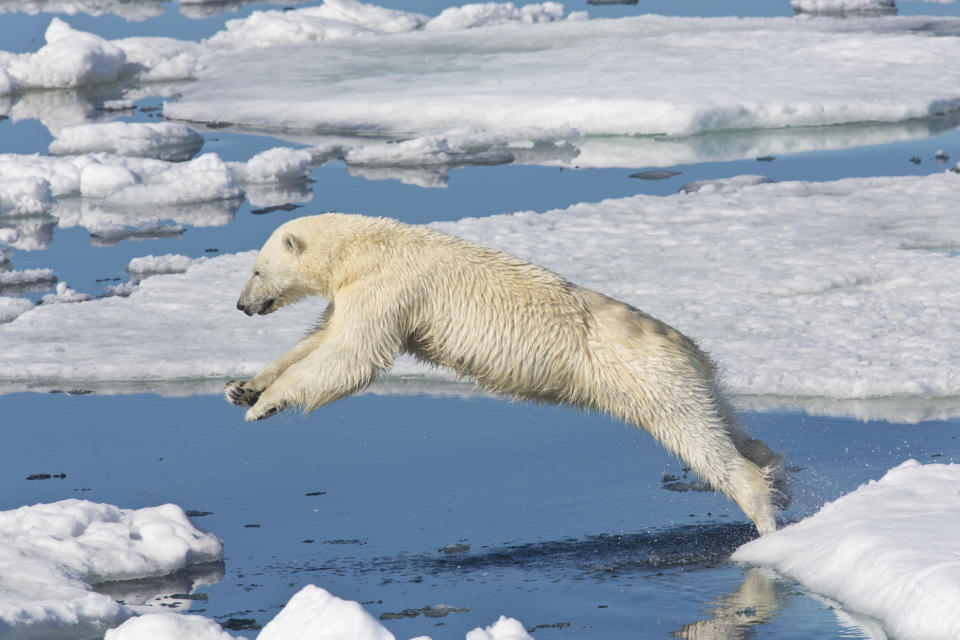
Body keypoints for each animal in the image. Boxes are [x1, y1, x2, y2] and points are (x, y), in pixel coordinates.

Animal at [227, 212, 788, 532]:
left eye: (255, 269)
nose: (241, 306)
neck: (366, 246)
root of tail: (688, 348)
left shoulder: (389, 287)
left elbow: (350, 355)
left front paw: (265, 405)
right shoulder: (358, 290)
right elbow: (320, 339)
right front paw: (243, 387)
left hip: (651, 381)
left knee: (700, 441)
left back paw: (762, 518)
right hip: (693, 381)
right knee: (730, 426)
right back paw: (773, 468)